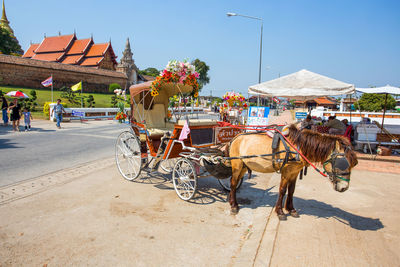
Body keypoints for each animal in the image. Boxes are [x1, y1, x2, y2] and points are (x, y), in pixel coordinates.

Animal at [227, 124, 358, 221]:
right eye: (342, 163)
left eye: (354, 164)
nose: (344, 188)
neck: (298, 147)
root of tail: (235, 138)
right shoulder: (286, 172)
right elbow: (282, 190)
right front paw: (280, 212)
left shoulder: (294, 172)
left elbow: (291, 190)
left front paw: (291, 209)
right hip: (237, 165)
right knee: (233, 183)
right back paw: (234, 205)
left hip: (244, 166)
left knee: (235, 182)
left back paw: (231, 201)